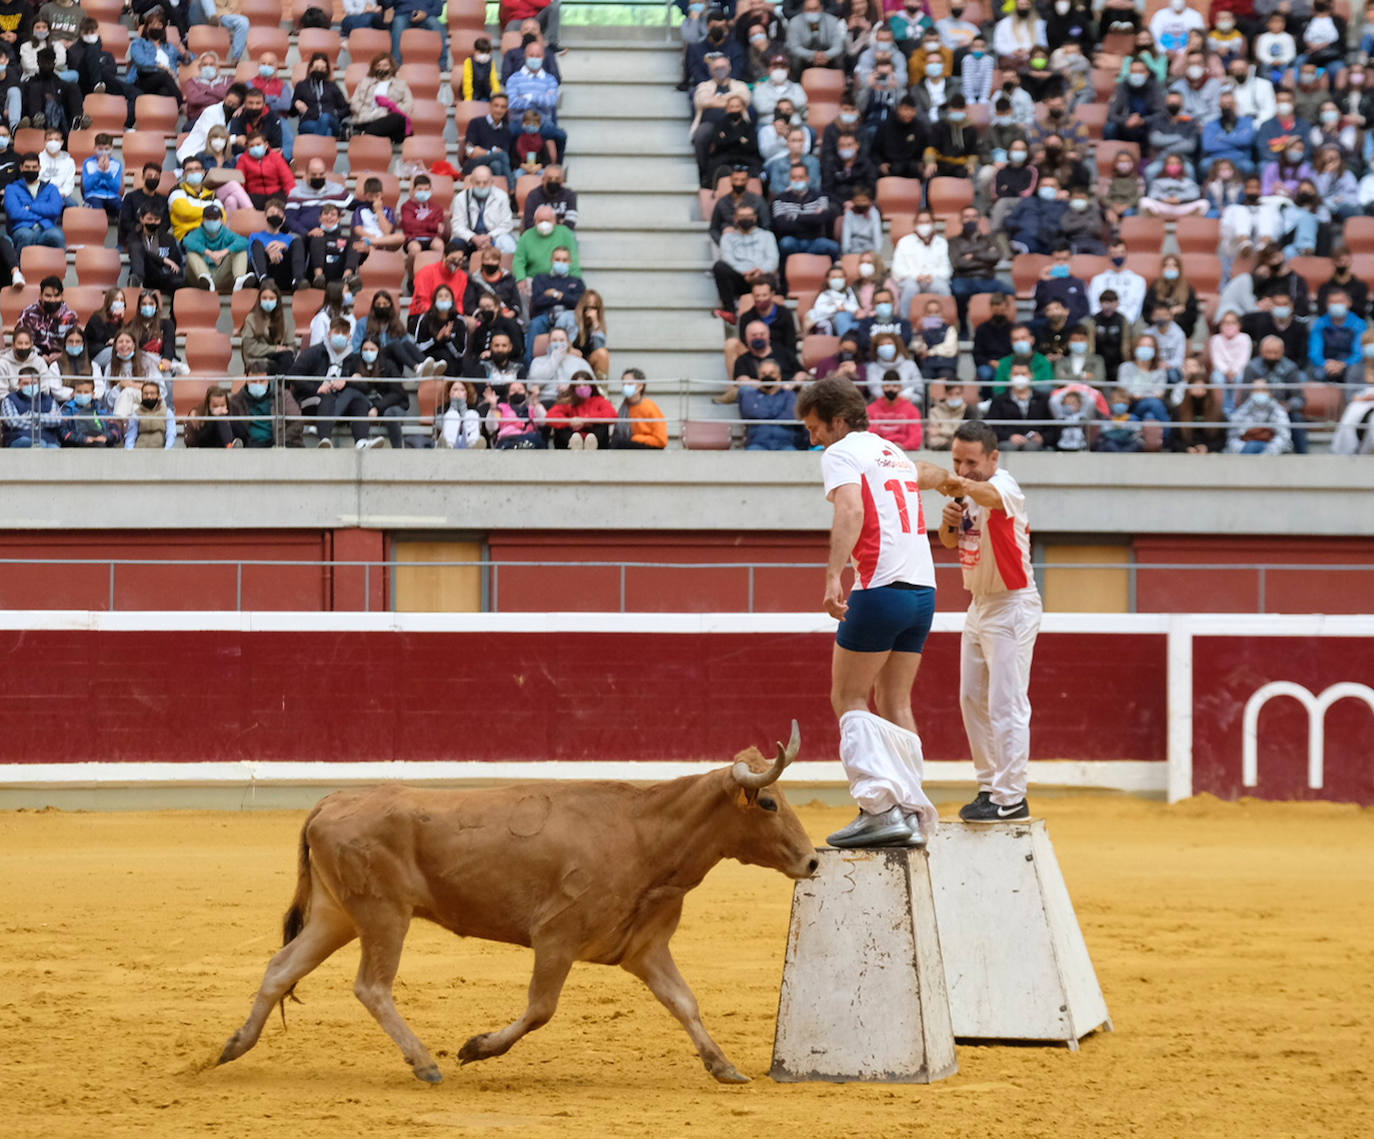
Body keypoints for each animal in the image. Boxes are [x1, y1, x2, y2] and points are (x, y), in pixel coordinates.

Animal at [217, 719, 813, 1082]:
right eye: (767, 802)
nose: (811, 861)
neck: (645, 832)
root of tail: (333, 800)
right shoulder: (556, 938)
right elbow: (541, 1009)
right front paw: (476, 1048)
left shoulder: (645, 948)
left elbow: (684, 1002)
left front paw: (724, 1066)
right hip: (383, 914)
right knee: (371, 986)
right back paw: (425, 1063)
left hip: (335, 915)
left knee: (280, 968)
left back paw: (235, 1045)